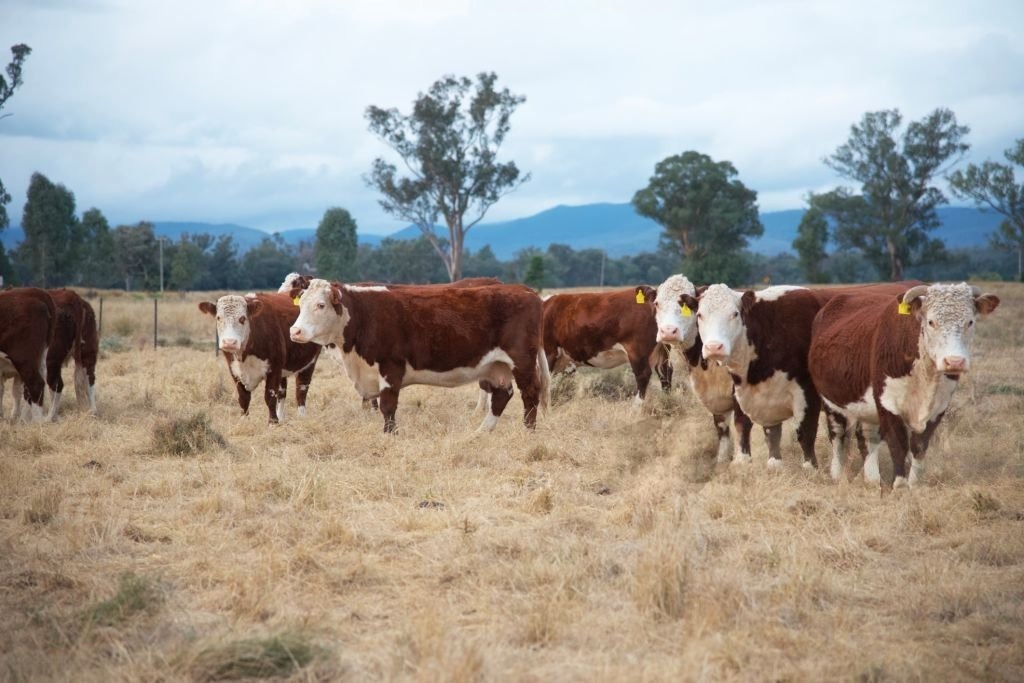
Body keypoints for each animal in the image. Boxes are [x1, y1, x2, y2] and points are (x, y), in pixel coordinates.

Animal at [198, 292, 321, 423]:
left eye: (242, 318)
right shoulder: (234, 370)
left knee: (301, 390)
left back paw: (301, 416)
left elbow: (270, 396)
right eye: (218, 318)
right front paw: (244, 420)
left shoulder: (274, 368)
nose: (229, 342)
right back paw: (281, 416)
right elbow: (243, 398)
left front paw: (273, 422)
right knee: (282, 392)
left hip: (309, 363)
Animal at [288, 278, 550, 433]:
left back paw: (528, 431)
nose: (295, 331)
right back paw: (481, 432)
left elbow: (388, 407)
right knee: (502, 395)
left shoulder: (391, 367)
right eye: (301, 304)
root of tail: (525, 290)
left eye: (321, 305)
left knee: (530, 394)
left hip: (522, 361)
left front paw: (389, 435)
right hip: (496, 366)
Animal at [541, 288, 673, 407]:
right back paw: (666, 401)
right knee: (665, 371)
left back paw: (637, 407)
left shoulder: (549, 352)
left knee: (643, 374)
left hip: (637, 351)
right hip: (663, 350)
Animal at [636, 276, 754, 464]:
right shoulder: (713, 395)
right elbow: (721, 425)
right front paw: (721, 460)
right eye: (657, 303)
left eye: (684, 306)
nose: (668, 331)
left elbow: (741, 423)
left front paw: (741, 462)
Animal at [808, 283, 1000, 487]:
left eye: (970, 322)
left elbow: (919, 446)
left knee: (867, 437)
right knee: (838, 435)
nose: (954, 361)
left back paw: (872, 478)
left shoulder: (938, 409)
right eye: (931, 322)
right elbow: (898, 445)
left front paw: (914, 484)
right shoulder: (887, 404)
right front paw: (899, 484)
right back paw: (837, 474)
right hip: (831, 402)